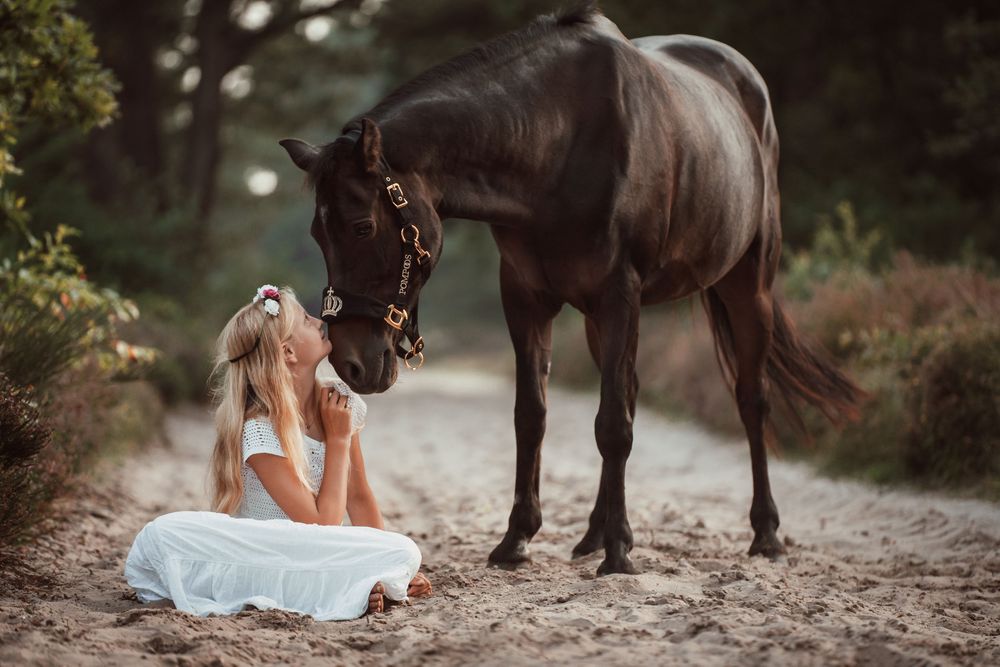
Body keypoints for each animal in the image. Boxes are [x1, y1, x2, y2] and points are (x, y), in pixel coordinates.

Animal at [279, 2, 864, 576]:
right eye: (316, 234)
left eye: (362, 227)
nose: (351, 362)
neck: (555, 142)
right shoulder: (526, 298)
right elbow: (533, 415)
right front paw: (518, 539)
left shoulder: (619, 293)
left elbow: (613, 425)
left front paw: (621, 553)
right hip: (596, 318)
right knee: (628, 392)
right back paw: (594, 534)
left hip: (748, 286)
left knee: (751, 398)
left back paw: (765, 534)